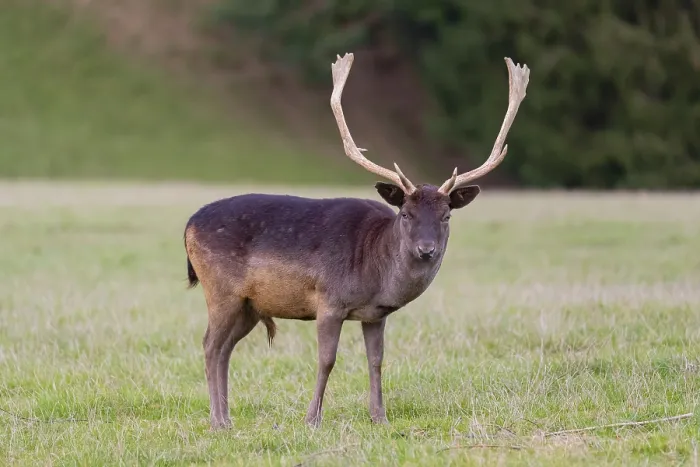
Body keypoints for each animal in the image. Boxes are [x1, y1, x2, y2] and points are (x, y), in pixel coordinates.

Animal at [184, 52, 530, 430]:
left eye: (446, 216)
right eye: (405, 213)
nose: (426, 249)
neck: (375, 271)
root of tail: (188, 224)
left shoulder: (376, 314)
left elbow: (376, 360)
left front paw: (380, 416)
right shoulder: (329, 301)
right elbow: (327, 359)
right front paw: (312, 419)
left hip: (249, 304)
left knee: (225, 348)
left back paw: (227, 418)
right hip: (221, 290)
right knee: (210, 345)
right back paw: (218, 421)